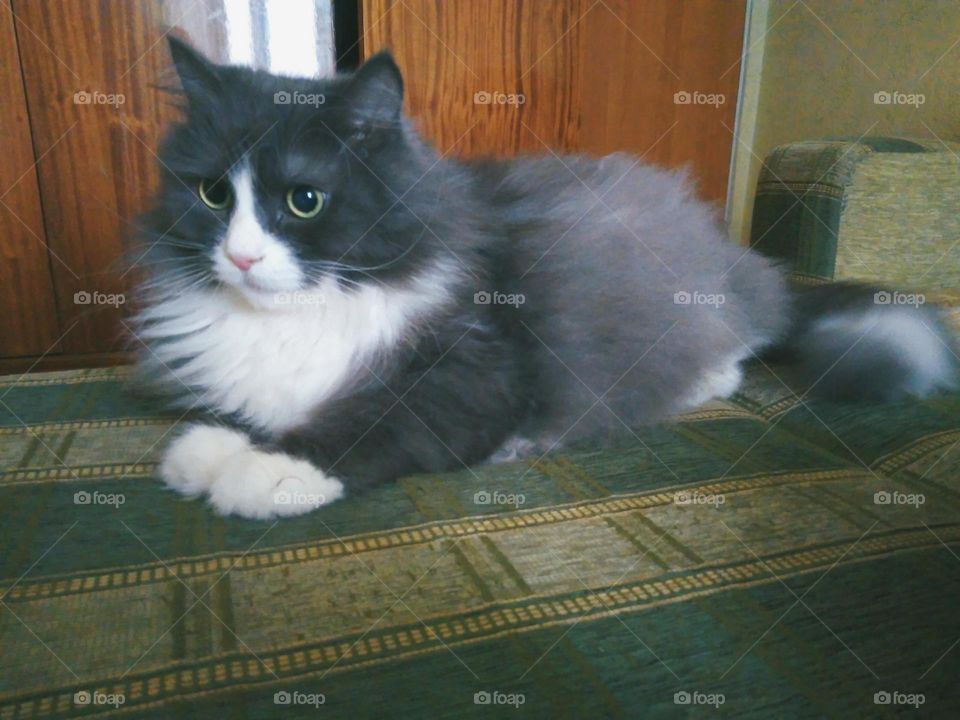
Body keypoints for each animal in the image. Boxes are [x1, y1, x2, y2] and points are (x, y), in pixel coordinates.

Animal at [129, 38, 960, 516]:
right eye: (213, 195)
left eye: (304, 201)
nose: (241, 256)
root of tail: (737, 260)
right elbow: (256, 405)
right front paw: (208, 449)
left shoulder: (473, 371)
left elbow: (369, 421)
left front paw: (265, 471)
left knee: (730, 351)